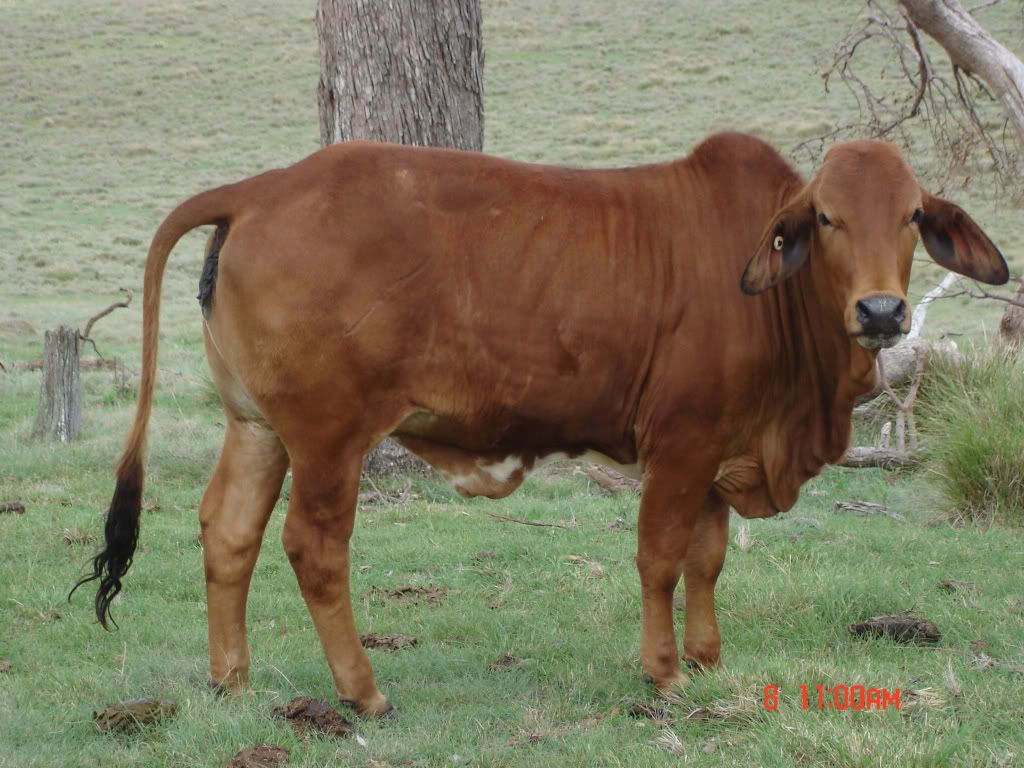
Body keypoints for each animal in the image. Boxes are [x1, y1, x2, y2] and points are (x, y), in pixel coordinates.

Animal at [74, 132, 1007, 716]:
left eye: (912, 216)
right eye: (826, 218)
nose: (882, 312)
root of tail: (262, 187)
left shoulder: (717, 451)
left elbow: (706, 561)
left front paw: (709, 661)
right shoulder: (680, 444)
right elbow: (661, 558)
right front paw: (665, 673)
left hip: (257, 427)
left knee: (229, 532)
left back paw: (232, 682)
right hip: (328, 437)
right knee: (314, 547)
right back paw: (362, 690)